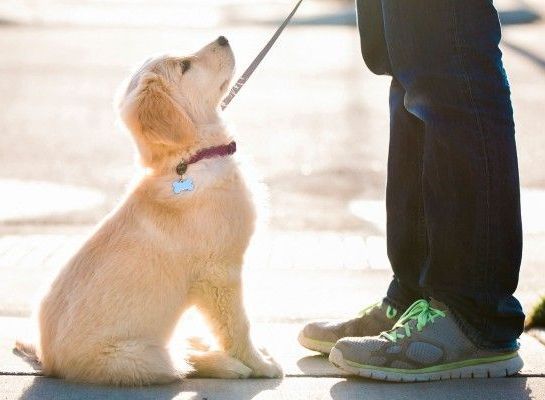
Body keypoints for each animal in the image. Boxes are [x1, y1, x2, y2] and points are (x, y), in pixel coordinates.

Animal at [15, 36, 282, 384]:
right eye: (185, 66)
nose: (223, 38)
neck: (189, 158)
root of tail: (47, 361)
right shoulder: (219, 273)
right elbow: (237, 326)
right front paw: (260, 364)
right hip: (140, 357)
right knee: (182, 363)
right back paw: (227, 365)